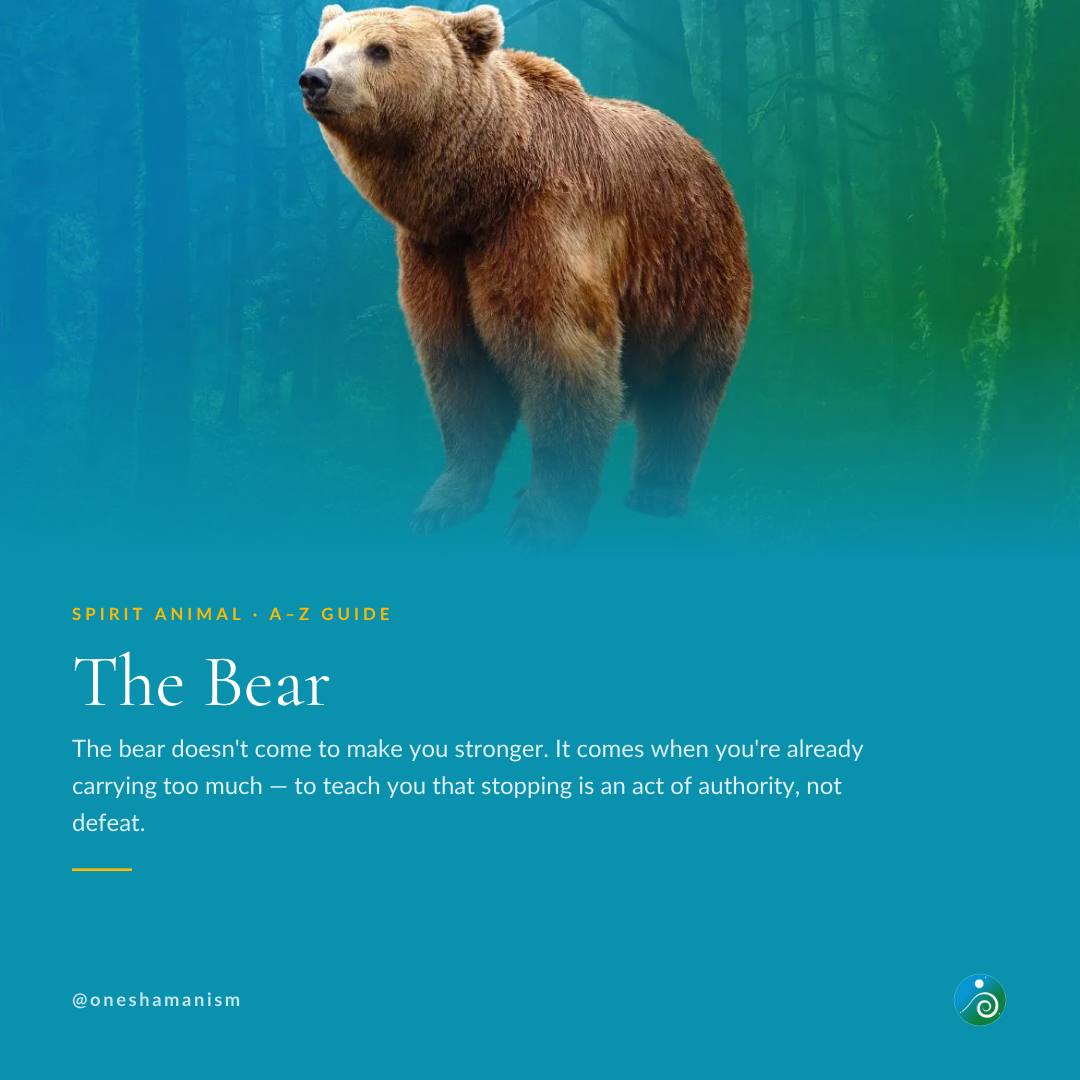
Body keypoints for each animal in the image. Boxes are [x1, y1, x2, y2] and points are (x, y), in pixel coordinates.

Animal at [301, 4, 751, 546]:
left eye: (379, 49)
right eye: (328, 43)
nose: (316, 80)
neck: (479, 192)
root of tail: (704, 151)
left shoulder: (541, 226)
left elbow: (563, 356)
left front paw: (540, 519)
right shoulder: (438, 255)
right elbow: (459, 369)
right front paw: (442, 503)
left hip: (694, 270)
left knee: (687, 389)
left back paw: (657, 493)